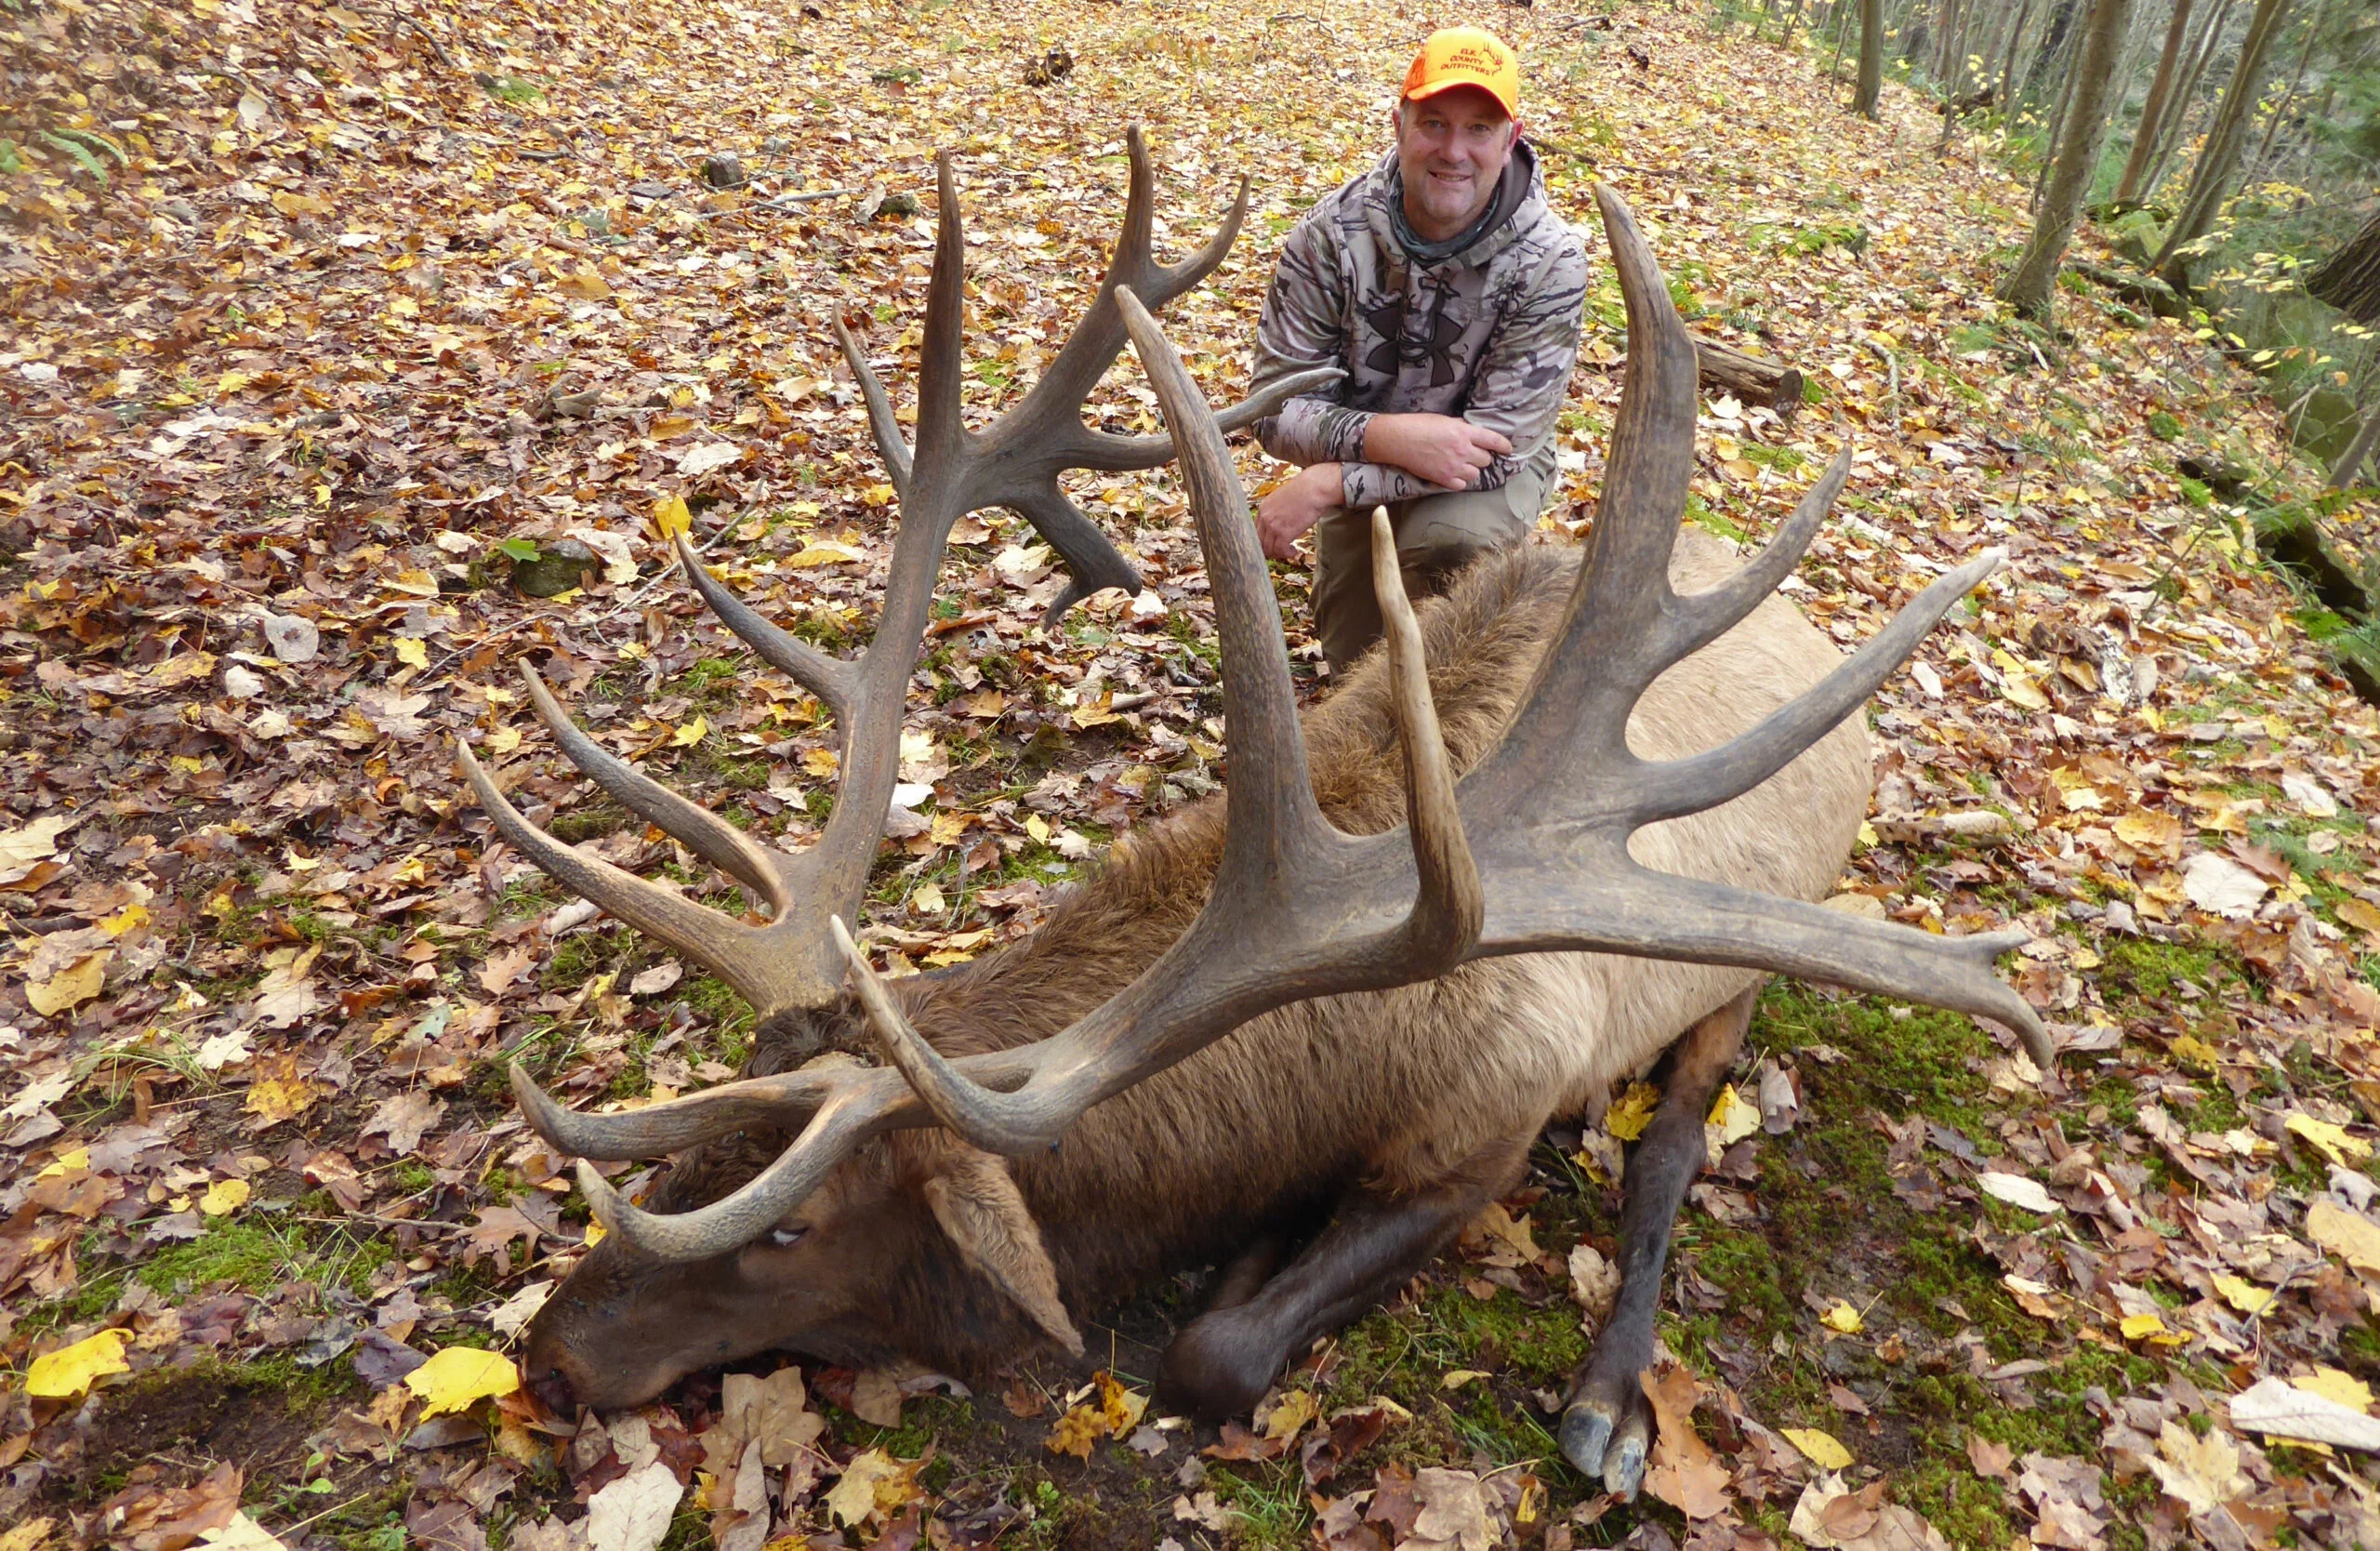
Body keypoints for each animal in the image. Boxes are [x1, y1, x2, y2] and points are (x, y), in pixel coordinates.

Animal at [455, 131, 2054, 1497]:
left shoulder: (1491, 1123)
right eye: (691, 1147)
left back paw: (1610, 1401)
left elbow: (1212, 1357)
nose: (550, 1355)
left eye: (790, 1225)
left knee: (1677, 1134)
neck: (1329, 1069)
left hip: (1752, 948)